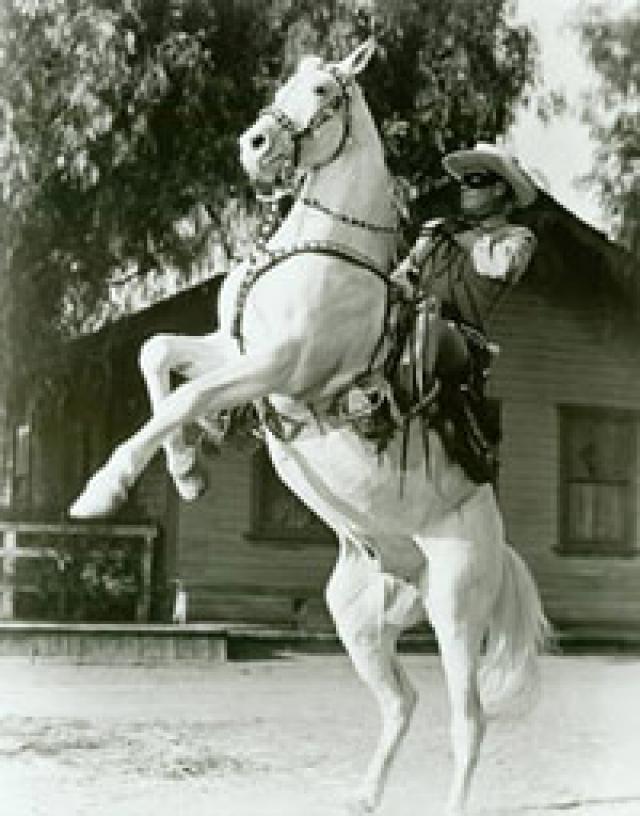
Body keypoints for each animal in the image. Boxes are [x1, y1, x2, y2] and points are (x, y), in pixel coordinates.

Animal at [69, 39, 548, 815]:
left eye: (324, 90)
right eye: (286, 80)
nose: (255, 145)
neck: (322, 250)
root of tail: (491, 545)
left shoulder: (279, 366)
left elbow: (183, 396)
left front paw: (103, 491)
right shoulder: (236, 349)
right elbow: (160, 357)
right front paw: (188, 469)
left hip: (455, 610)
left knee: (467, 720)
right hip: (360, 617)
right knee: (401, 703)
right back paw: (362, 794)